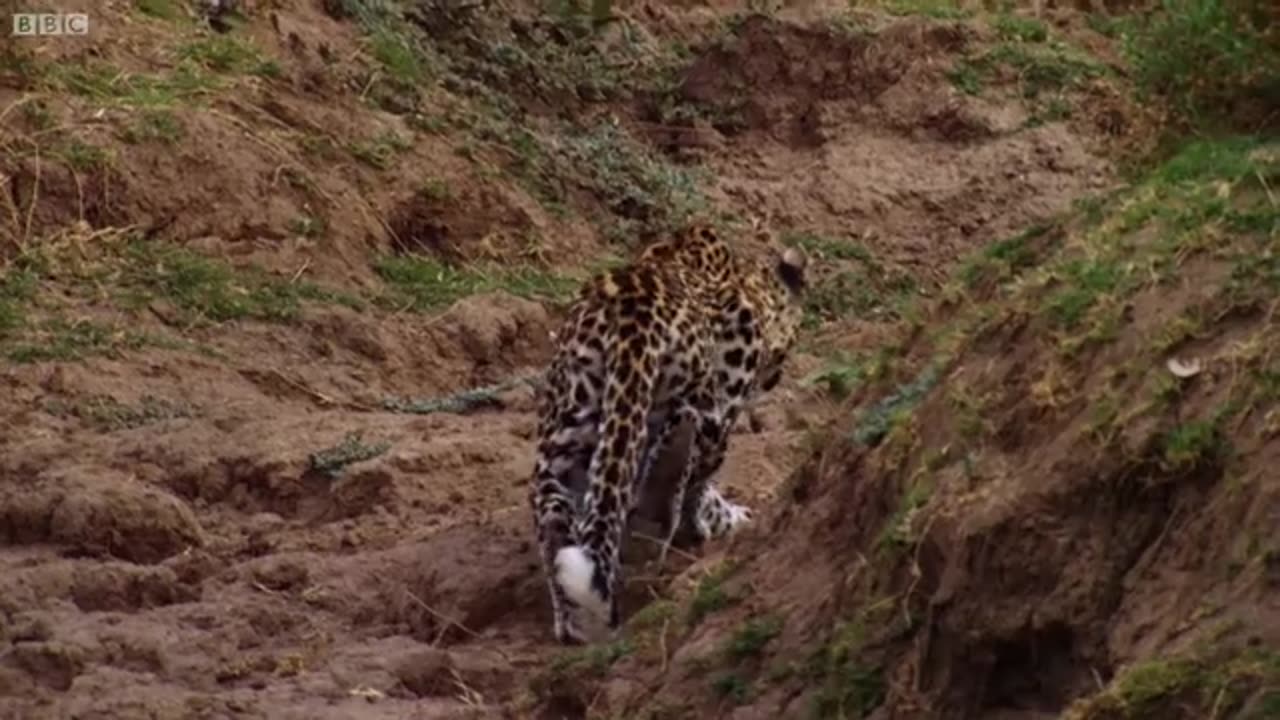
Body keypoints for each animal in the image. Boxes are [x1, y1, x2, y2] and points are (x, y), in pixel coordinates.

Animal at [524, 221, 803, 640]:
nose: (777, 376)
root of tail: (631, 319)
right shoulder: (726, 404)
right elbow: (702, 490)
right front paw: (724, 520)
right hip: (698, 407)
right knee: (670, 468)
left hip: (566, 433)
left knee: (558, 518)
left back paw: (577, 622)